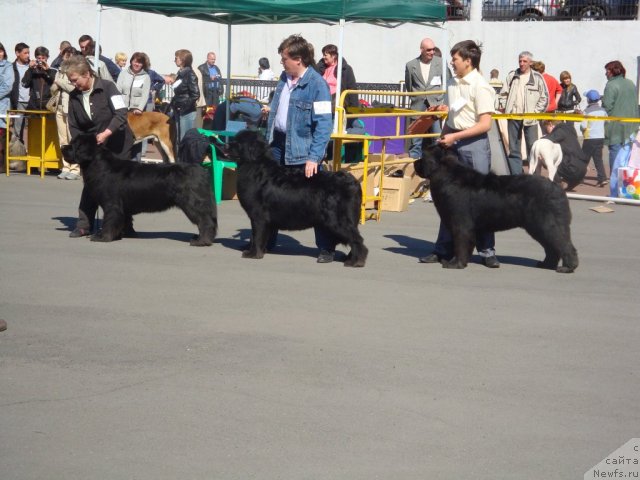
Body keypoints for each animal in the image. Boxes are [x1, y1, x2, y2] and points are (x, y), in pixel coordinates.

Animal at [64, 132, 218, 246]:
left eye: (74, 145)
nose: (63, 147)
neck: (100, 165)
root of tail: (202, 171)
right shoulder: (122, 208)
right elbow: (121, 220)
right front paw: (117, 236)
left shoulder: (112, 204)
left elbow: (109, 220)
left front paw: (103, 237)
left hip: (192, 203)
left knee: (205, 220)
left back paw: (201, 241)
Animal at [226, 129, 368, 268]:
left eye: (238, 143)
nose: (225, 145)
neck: (256, 167)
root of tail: (353, 182)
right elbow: (259, 236)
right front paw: (258, 250)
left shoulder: (258, 216)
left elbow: (256, 235)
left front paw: (252, 253)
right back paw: (350, 258)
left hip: (337, 220)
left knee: (357, 240)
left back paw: (355, 262)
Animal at [416, 143, 580, 274]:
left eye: (423, 156)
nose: (415, 163)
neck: (448, 176)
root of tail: (557, 188)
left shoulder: (461, 224)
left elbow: (460, 243)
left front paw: (456, 264)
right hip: (538, 227)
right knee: (552, 247)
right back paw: (546, 264)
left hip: (548, 224)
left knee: (563, 244)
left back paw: (567, 268)